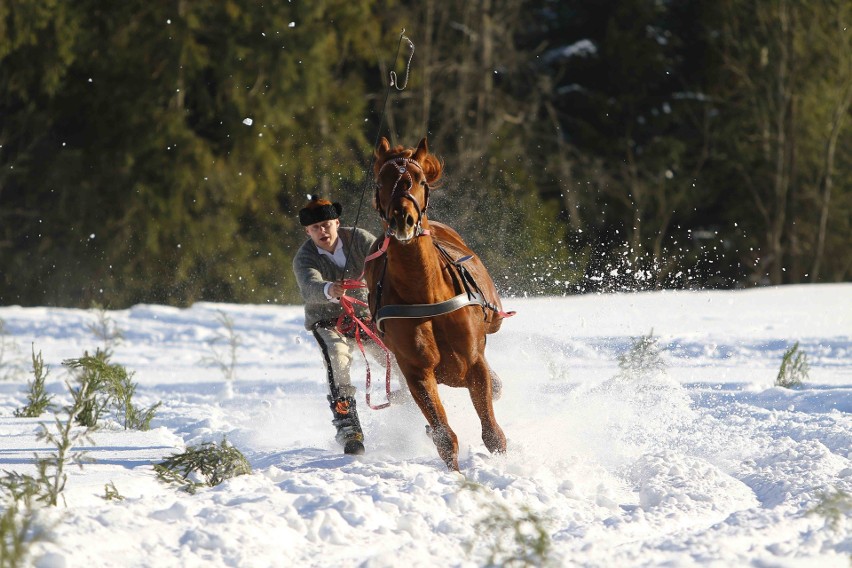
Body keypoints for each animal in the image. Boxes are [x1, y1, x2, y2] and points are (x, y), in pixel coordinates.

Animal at [362, 138, 510, 470]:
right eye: (381, 181)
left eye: (419, 180)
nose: (402, 220)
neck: (425, 295)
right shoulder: (416, 370)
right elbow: (445, 436)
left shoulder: (473, 361)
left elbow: (493, 432)